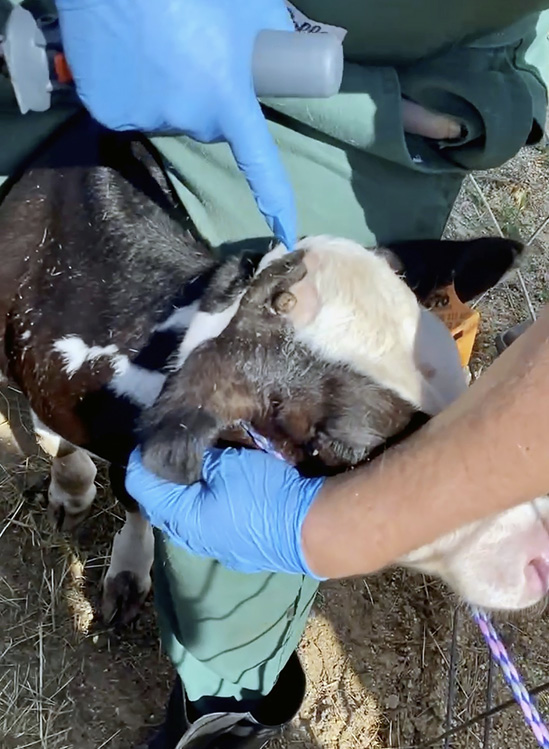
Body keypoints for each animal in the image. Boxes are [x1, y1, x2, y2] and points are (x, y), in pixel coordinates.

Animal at [0, 114, 544, 624]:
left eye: (461, 379)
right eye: (344, 447)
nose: (536, 556)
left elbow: (135, 494)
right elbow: (78, 455)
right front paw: (73, 491)